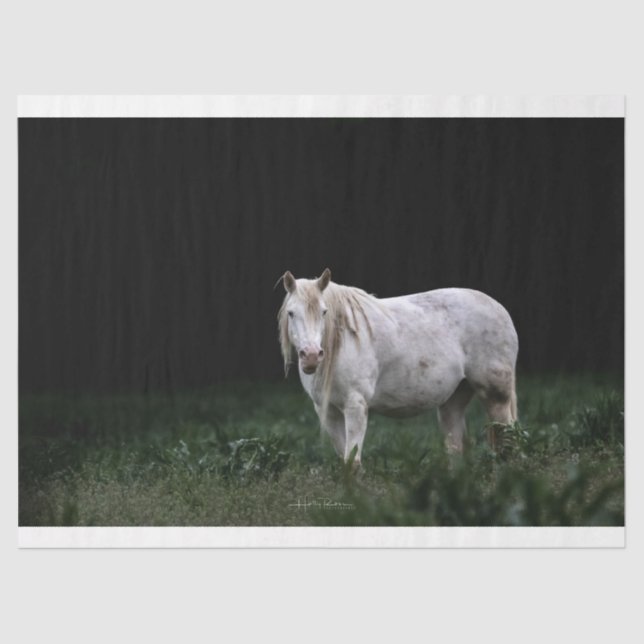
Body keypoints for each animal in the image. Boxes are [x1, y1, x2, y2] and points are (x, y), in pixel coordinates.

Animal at [277, 269, 518, 467]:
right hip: (453, 402)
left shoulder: (355, 406)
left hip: (496, 397)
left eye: (324, 312)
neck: (341, 341)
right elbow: (344, 462)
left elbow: (353, 463)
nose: (311, 356)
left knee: (507, 444)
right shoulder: (328, 412)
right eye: (291, 313)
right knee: (456, 450)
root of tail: (500, 308)